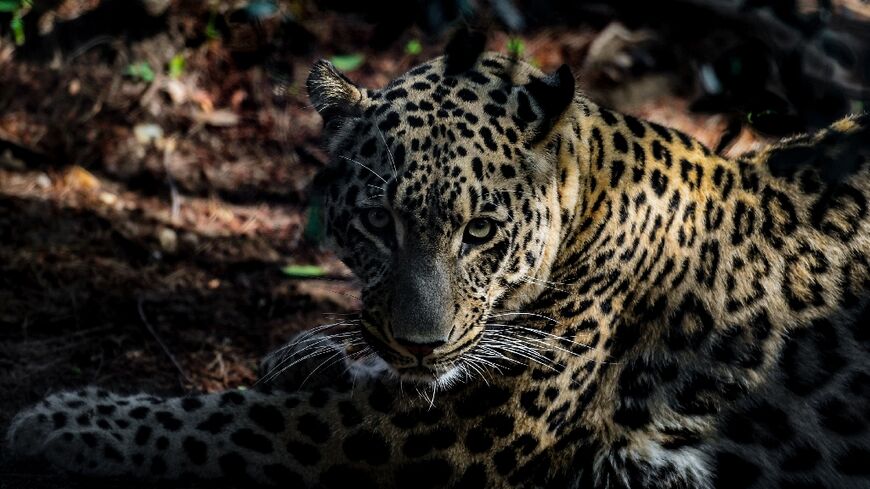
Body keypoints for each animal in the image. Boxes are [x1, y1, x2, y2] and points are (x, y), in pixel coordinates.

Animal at [6, 39, 870, 488]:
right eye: (377, 223)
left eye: (481, 230)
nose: (422, 344)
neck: (591, 189)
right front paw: (308, 351)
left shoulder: (429, 431)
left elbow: (216, 420)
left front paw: (61, 419)